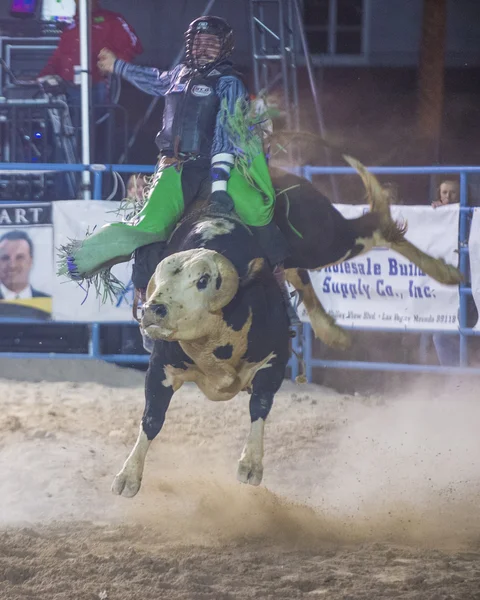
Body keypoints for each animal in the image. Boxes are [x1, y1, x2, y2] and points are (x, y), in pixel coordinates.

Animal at [111, 156, 462, 496]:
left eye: (203, 280)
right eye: (159, 279)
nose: (153, 309)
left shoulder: (274, 360)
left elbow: (260, 404)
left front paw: (250, 465)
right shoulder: (162, 366)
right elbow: (152, 418)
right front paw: (128, 476)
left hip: (319, 239)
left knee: (373, 228)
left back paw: (445, 272)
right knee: (300, 274)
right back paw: (332, 331)